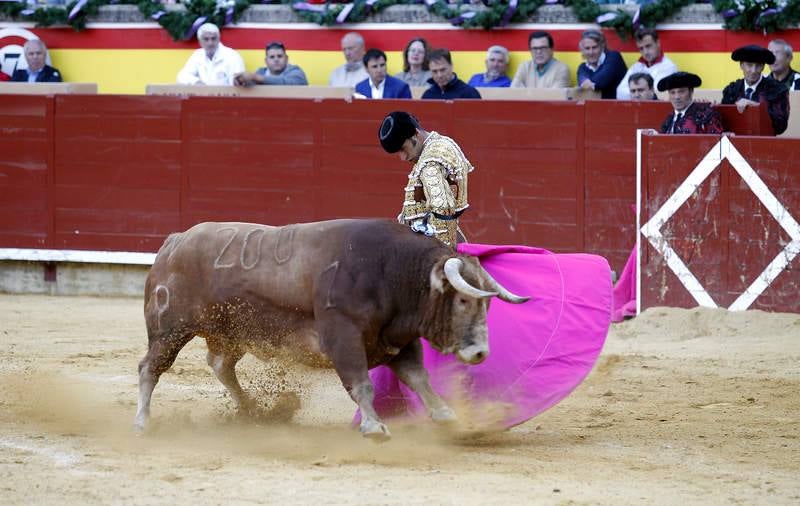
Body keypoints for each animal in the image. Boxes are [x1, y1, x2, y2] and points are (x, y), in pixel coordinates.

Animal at [134, 218, 528, 438]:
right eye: (462, 300)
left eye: (486, 302)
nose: (480, 352)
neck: (392, 272)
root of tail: (175, 241)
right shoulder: (344, 337)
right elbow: (361, 383)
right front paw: (374, 427)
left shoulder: (396, 341)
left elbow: (418, 378)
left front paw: (446, 416)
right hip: (170, 331)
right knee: (150, 368)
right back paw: (142, 422)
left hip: (231, 333)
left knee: (220, 366)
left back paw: (253, 412)